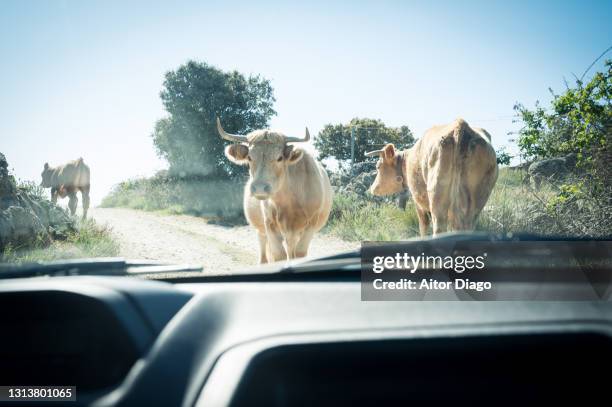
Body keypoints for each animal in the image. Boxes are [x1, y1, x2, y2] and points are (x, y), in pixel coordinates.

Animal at [215, 118, 330, 264]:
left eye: (279, 158)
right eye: (250, 157)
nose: (259, 187)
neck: (289, 202)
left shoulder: (311, 224)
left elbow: (299, 253)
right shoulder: (270, 224)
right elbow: (279, 255)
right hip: (262, 229)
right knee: (265, 248)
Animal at [366, 118, 500, 236]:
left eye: (378, 166)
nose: (372, 188)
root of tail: (460, 125)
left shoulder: (418, 201)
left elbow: (423, 224)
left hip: (437, 193)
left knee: (439, 226)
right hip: (479, 197)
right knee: (467, 225)